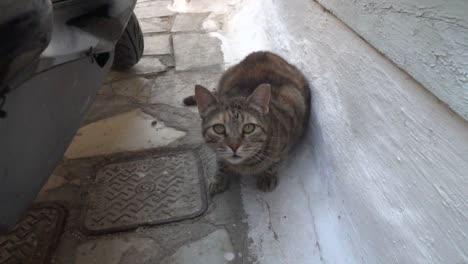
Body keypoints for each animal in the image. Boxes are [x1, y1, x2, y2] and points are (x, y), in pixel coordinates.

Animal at [184, 51, 310, 194]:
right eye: (218, 128)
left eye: (249, 128)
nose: (234, 146)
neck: (244, 165)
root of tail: (265, 52)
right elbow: (220, 160)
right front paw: (219, 178)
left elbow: (276, 159)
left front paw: (268, 175)